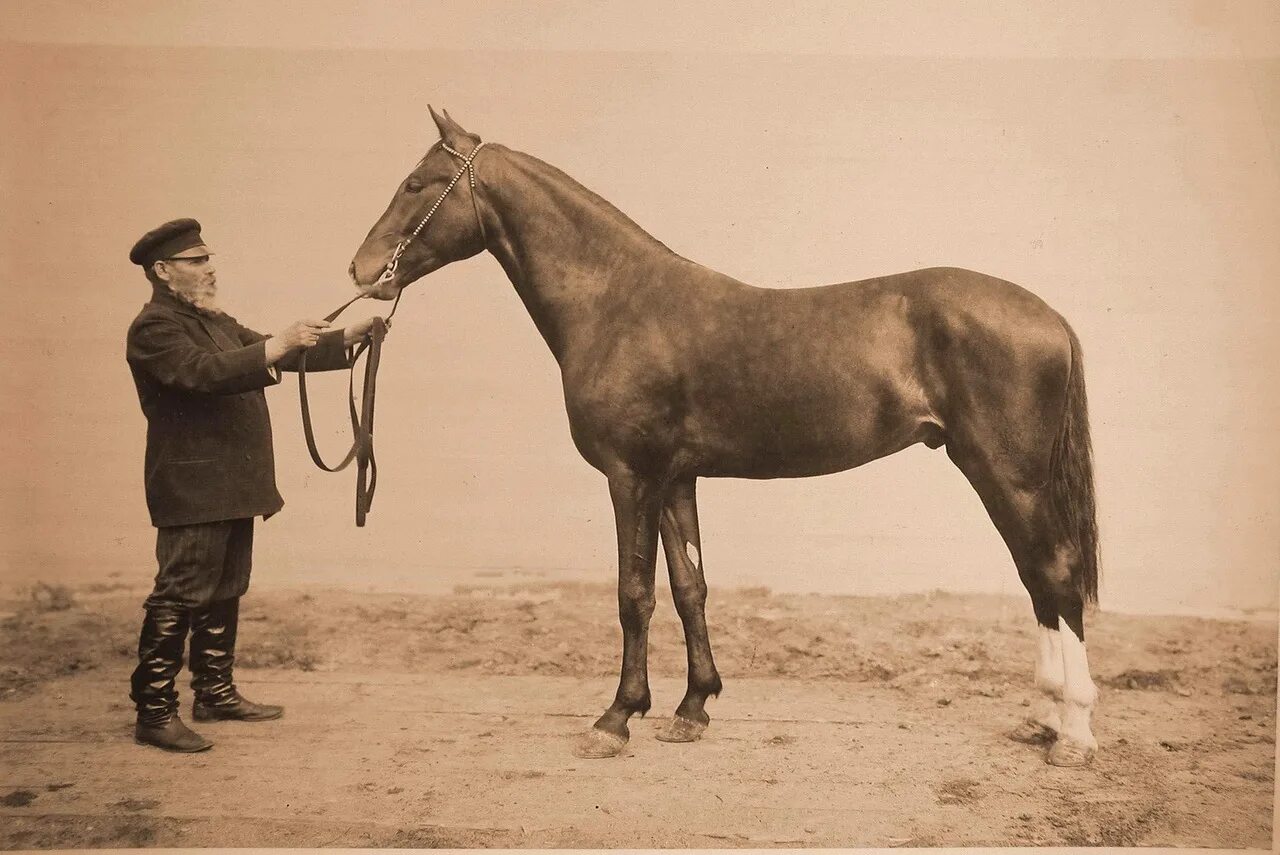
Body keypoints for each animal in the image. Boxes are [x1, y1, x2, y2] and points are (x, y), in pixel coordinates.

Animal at [348, 106, 1100, 767]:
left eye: (417, 182)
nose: (360, 270)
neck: (616, 301)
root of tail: (1051, 315)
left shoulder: (630, 475)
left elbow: (633, 593)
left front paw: (615, 718)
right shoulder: (676, 476)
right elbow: (690, 587)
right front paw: (692, 707)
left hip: (1008, 474)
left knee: (1053, 572)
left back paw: (1073, 735)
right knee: (1038, 579)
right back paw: (1044, 720)